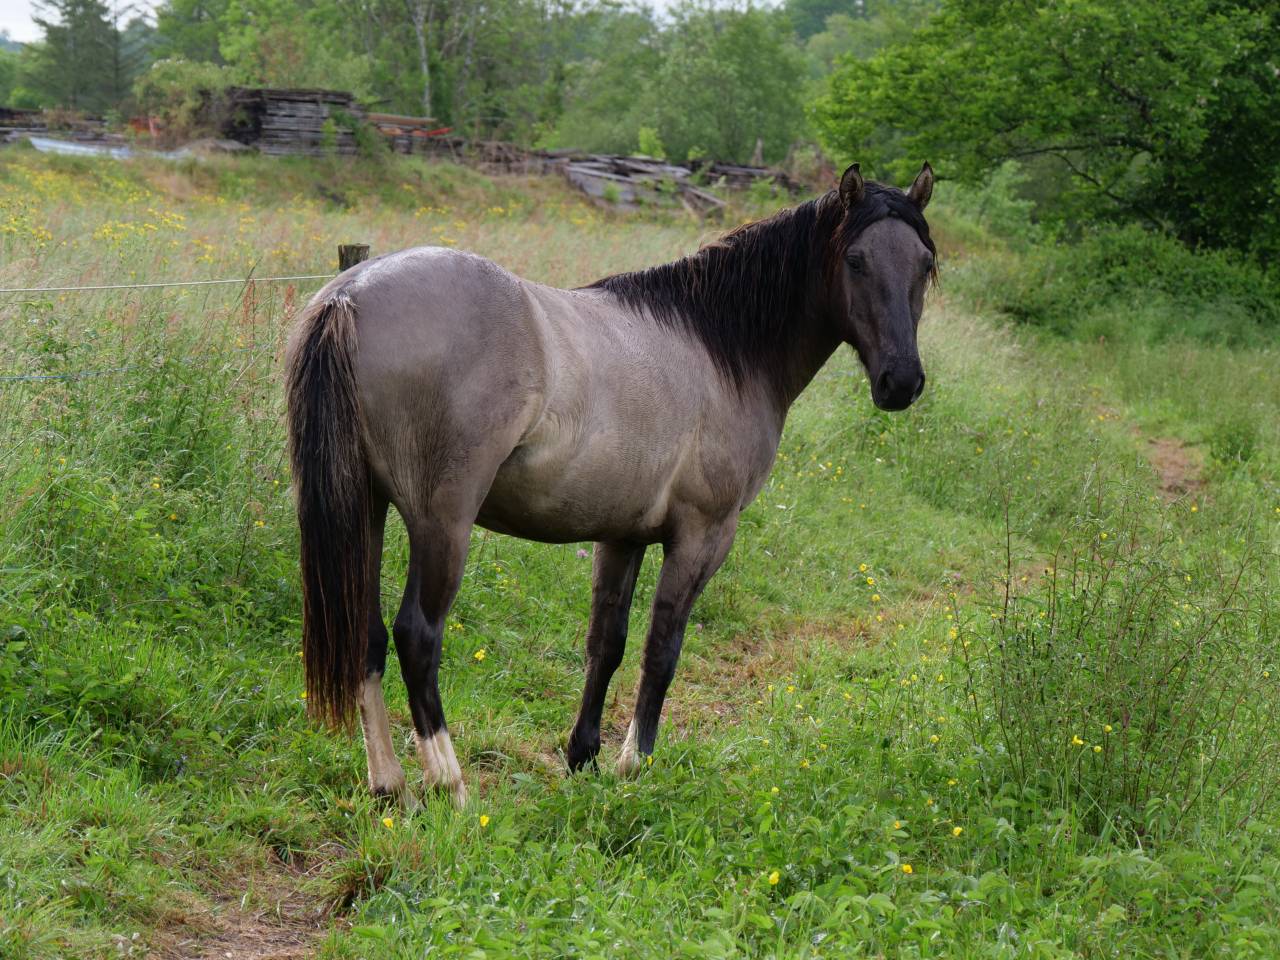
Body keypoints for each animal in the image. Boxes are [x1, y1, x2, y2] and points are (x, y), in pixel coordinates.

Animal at [285, 162, 936, 806]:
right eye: (856, 260)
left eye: (925, 264)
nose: (901, 381)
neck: (720, 348)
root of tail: (350, 295)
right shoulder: (703, 536)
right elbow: (662, 648)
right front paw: (633, 764)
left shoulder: (622, 536)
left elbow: (608, 643)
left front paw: (583, 757)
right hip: (440, 522)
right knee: (417, 636)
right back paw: (450, 782)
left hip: (366, 506)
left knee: (366, 635)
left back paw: (389, 783)